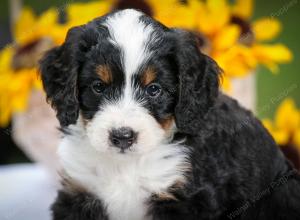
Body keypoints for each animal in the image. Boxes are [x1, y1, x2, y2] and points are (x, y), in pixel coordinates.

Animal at [40, 8, 300, 220]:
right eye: (98, 86)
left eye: (154, 89)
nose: (123, 137)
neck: (127, 166)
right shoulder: (79, 191)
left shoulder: (183, 199)